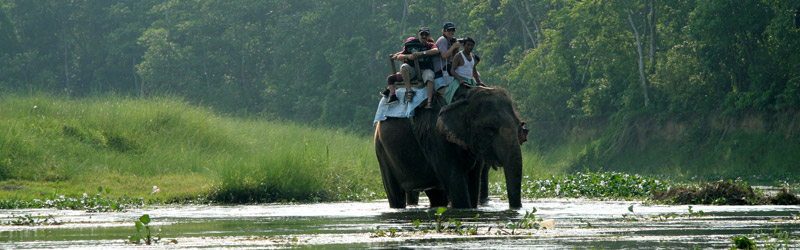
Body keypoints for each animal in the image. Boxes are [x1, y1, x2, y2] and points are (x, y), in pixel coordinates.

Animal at [374, 87, 524, 208]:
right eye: (490, 129)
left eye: (519, 126)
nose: (515, 209)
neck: (464, 98)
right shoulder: (436, 136)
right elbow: (455, 181)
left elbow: (473, 181)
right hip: (381, 150)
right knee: (395, 194)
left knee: (436, 196)